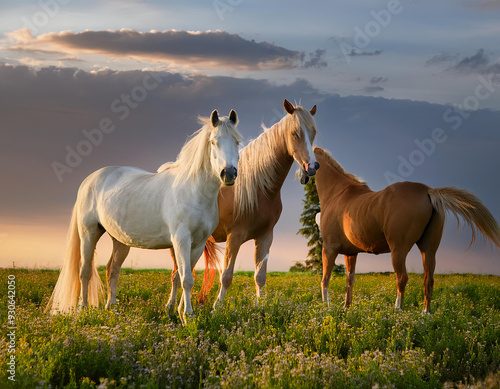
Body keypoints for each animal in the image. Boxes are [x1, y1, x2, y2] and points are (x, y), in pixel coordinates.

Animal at [46, 108, 241, 322]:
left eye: (237, 142)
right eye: (214, 141)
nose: (229, 173)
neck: (193, 190)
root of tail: (90, 179)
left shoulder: (198, 244)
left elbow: (185, 276)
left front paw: (180, 312)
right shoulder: (181, 239)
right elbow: (186, 279)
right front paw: (187, 315)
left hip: (120, 240)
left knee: (112, 269)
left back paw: (111, 308)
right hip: (89, 232)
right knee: (85, 271)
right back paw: (84, 309)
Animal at [166, 99, 318, 310]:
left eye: (313, 133)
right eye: (295, 133)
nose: (312, 167)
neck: (259, 187)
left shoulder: (265, 236)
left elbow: (260, 276)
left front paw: (261, 306)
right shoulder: (235, 237)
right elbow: (226, 276)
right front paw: (217, 307)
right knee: (176, 275)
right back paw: (171, 307)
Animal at [310, 146, 498, 312]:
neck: (339, 193)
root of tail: (428, 191)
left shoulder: (329, 249)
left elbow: (325, 279)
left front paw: (326, 309)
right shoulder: (351, 253)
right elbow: (350, 279)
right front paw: (346, 307)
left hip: (398, 250)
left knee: (402, 278)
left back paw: (397, 310)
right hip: (428, 250)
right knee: (428, 280)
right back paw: (425, 314)